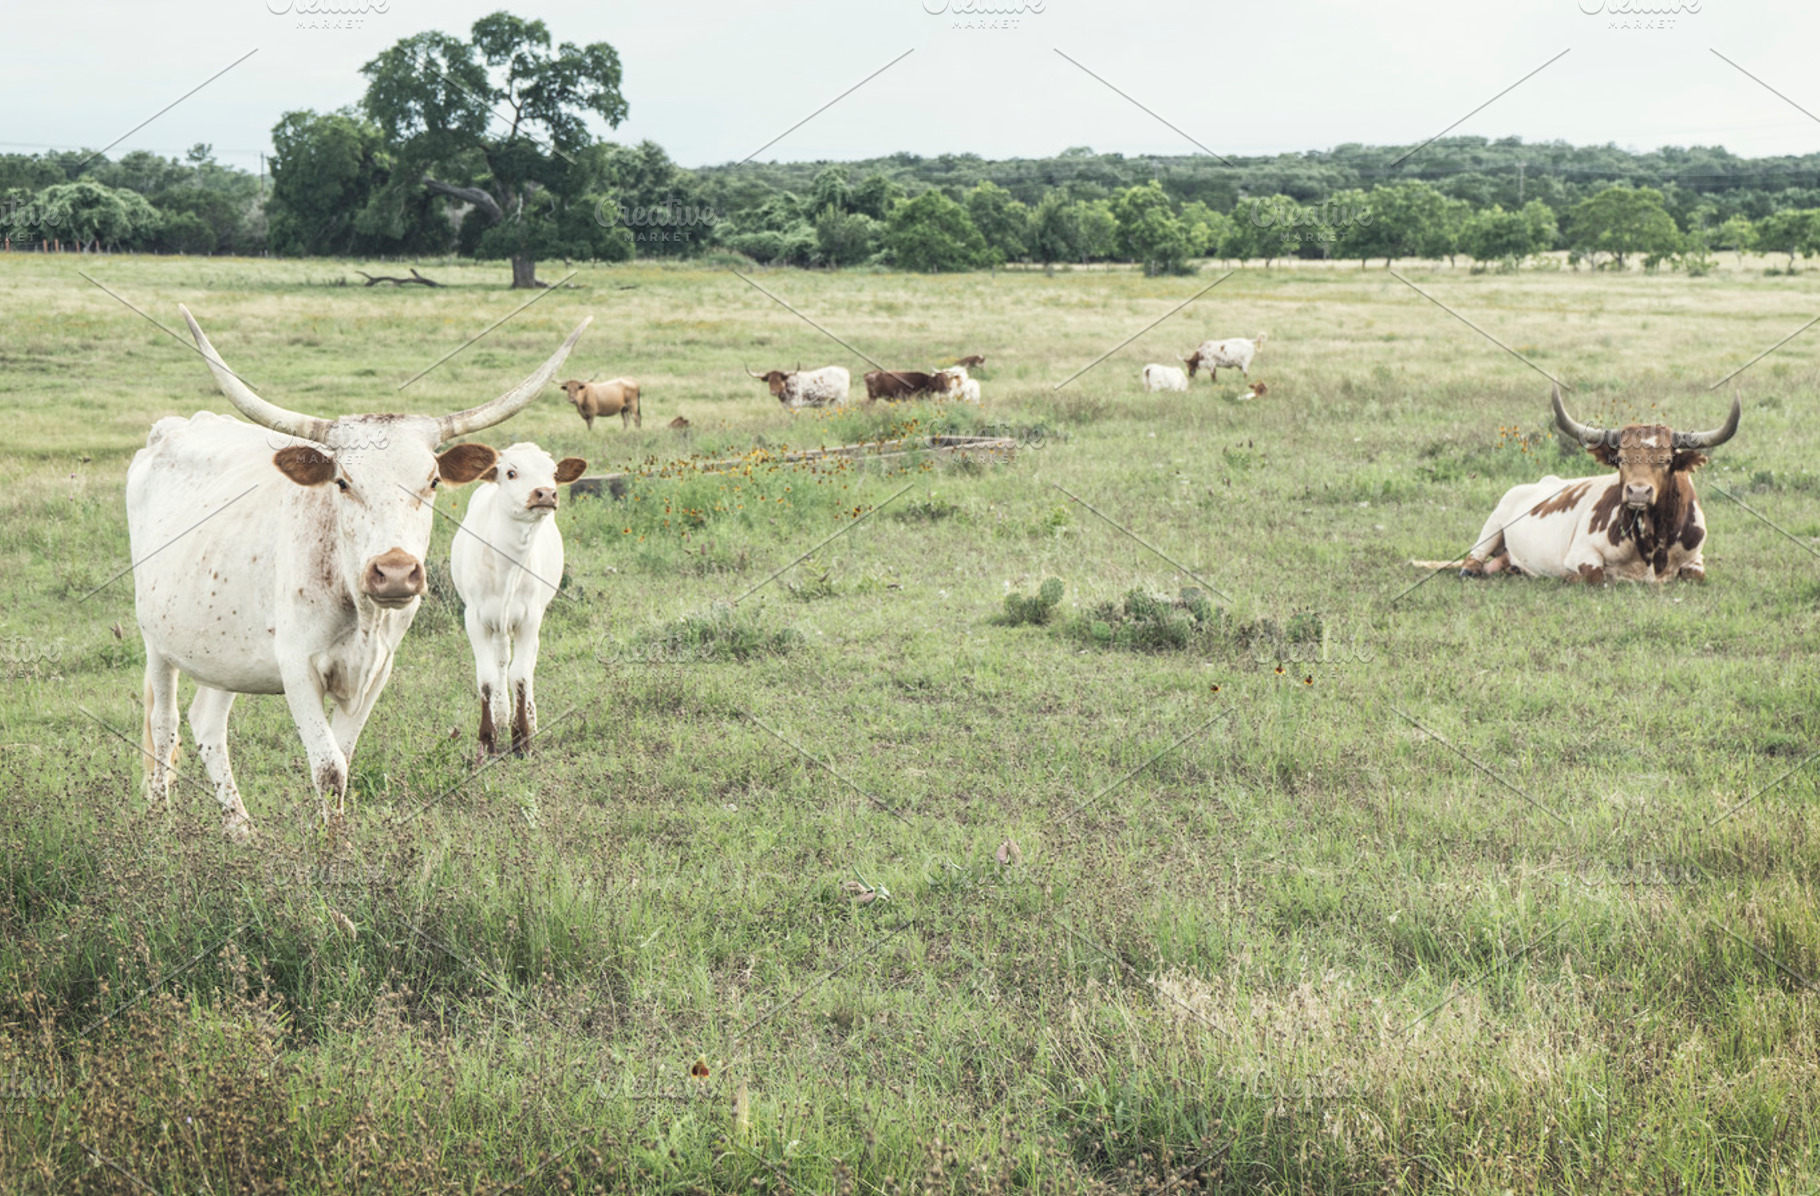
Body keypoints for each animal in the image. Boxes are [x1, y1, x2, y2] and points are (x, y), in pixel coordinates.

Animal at [450, 443, 587, 758]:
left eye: (554, 473)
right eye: (511, 473)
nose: (546, 494)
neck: (507, 566)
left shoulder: (530, 617)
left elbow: (521, 675)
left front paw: (522, 739)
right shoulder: (474, 618)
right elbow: (487, 677)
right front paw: (487, 740)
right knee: (501, 659)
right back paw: (501, 714)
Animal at [1459, 386, 1740, 584]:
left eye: (1667, 460)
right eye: (1621, 459)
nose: (1638, 492)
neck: (1652, 540)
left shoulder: (1696, 558)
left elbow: (1696, 575)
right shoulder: (1581, 553)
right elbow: (1596, 576)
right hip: (1492, 526)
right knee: (1471, 562)